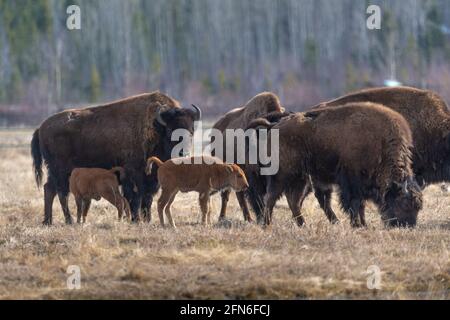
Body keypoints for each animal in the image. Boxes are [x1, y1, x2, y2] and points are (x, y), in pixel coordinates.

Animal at [31, 91, 200, 224]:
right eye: (171, 130)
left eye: (191, 131)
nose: (183, 154)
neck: (156, 128)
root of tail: (41, 128)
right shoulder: (133, 175)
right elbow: (135, 197)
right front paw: (136, 220)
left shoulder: (150, 180)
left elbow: (147, 199)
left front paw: (147, 220)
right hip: (61, 171)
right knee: (61, 193)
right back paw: (69, 220)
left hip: (55, 172)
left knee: (49, 189)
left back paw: (48, 221)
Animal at [212, 92, 284, 222]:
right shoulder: (253, 177)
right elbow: (258, 198)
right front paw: (261, 218)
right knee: (226, 195)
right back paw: (223, 217)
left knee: (238, 195)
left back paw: (248, 218)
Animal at [250, 102, 422, 228]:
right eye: (404, 203)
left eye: (418, 207)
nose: (408, 226)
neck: (382, 146)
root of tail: (276, 126)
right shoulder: (351, 183)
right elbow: (354, 204)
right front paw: (358, 224)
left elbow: (360, 205)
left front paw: (363, 224)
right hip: (283, 175)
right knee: (272, 197)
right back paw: (267, 224)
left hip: (302, 178)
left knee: (294, 200)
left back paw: (304, 224)